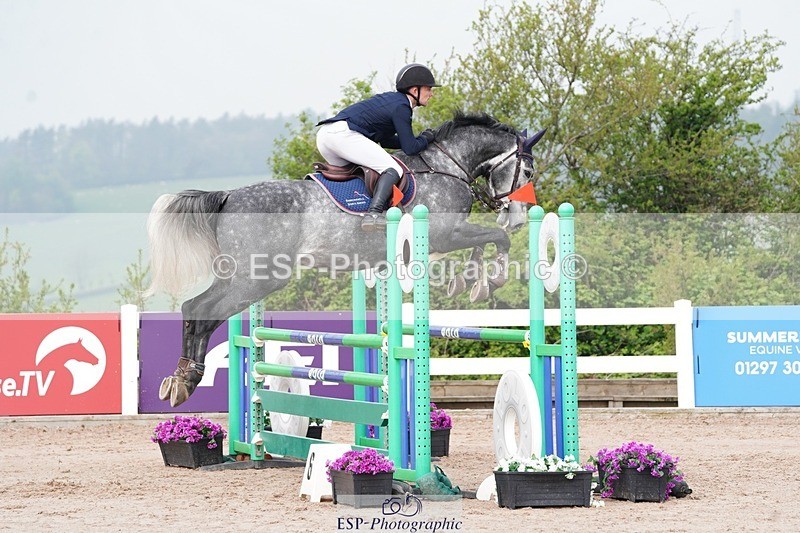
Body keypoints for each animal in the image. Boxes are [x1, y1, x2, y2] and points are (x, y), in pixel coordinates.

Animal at [146, 112, 544, 407]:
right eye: (527, 172)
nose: (518, 217)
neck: (447, 167)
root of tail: (228, 196)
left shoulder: (448, 237)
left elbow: (484, 243)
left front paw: (471, 280)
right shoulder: (446, 235)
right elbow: (497, 239)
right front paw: (491, 279)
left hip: (240, 275)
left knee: (192, 307)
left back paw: (178, 379)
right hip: (258, 278)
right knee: (203, 311)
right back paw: (188, 379)